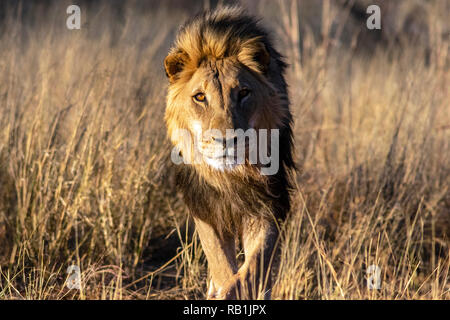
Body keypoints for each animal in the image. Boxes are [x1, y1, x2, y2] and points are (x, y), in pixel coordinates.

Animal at [163, 5, 294, 300]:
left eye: (243, 93)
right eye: (200, 97)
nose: (226, 140)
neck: (230, 176)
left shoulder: (267, 202)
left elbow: (254, 266)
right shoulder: (205, 205)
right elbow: (221, 264)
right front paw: (221, 290)